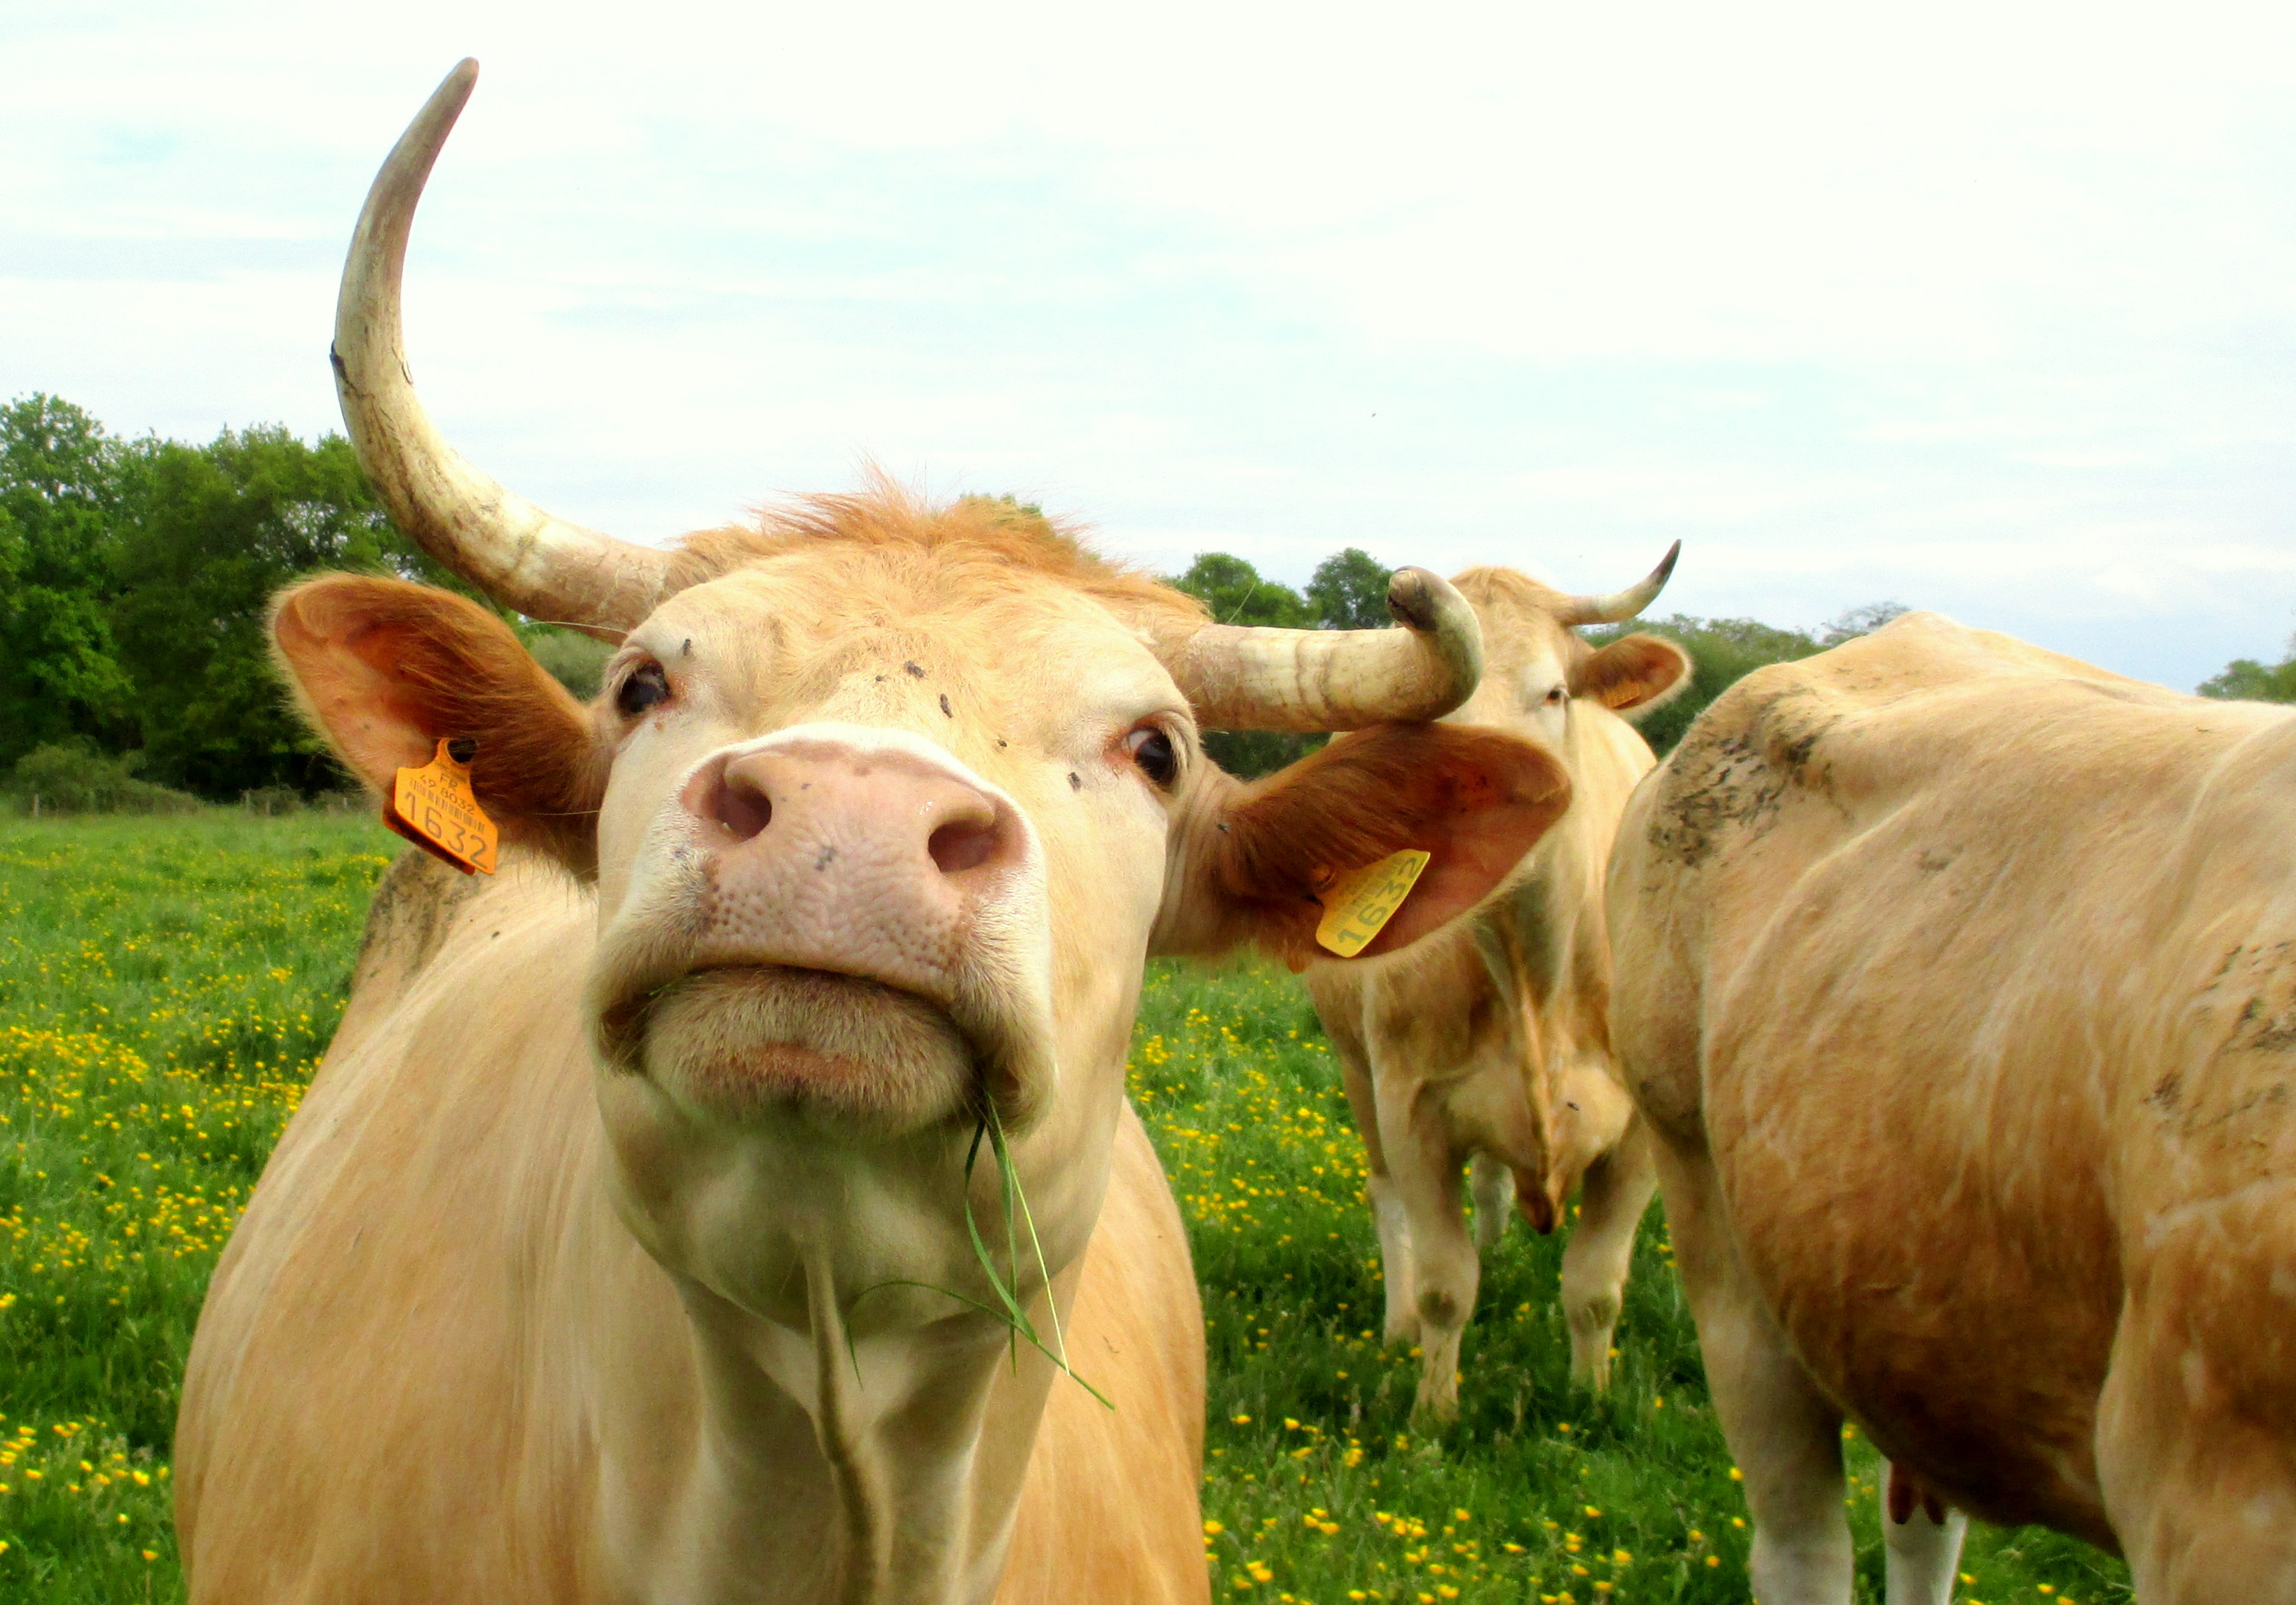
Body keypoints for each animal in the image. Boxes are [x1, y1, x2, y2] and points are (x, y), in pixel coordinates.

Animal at [1303, 564, 1699, 1414]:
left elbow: (1595, 1287)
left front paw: (1589, 1400)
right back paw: (1396, 1326)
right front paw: (1433, 1414)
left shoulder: (1640, 1131)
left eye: (1553, 693)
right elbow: (1445, 1284)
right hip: (1353, 1062)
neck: (1531, 974)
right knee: (1387, 1199)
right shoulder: (1410, 1106)